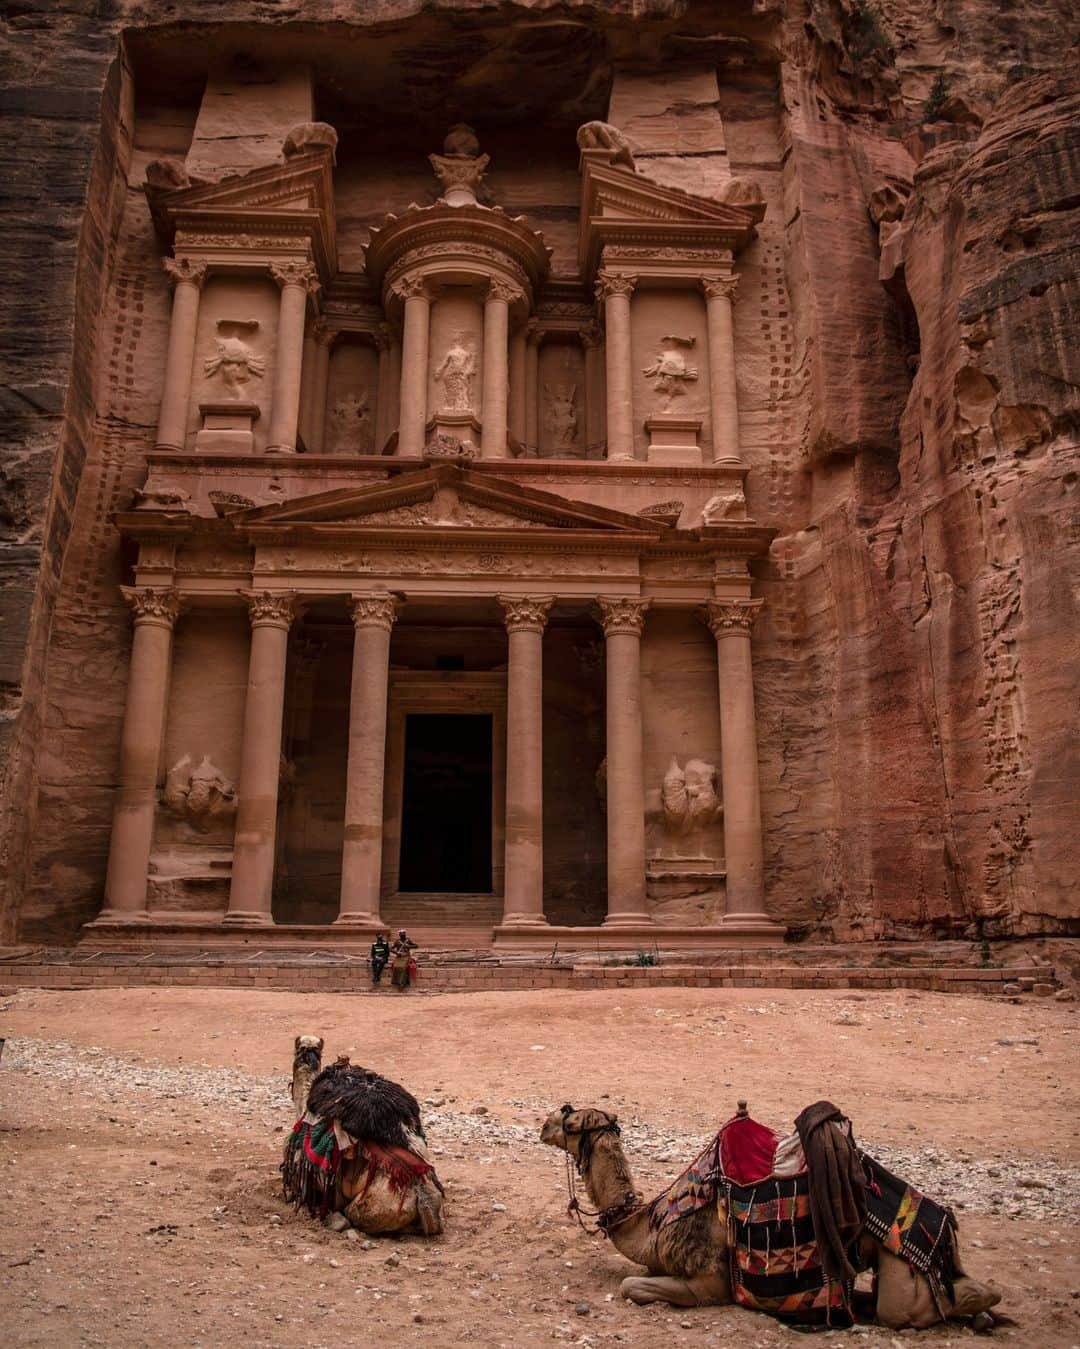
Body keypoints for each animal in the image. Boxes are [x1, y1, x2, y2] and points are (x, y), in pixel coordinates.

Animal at [539, 1106, 1003, 1327]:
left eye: (572, 1120)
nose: (543, 1125)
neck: (651, 1222)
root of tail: (944, 1229)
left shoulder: (708, 1279)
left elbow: (632, 1286)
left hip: (903, 1276)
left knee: (919, 1307)